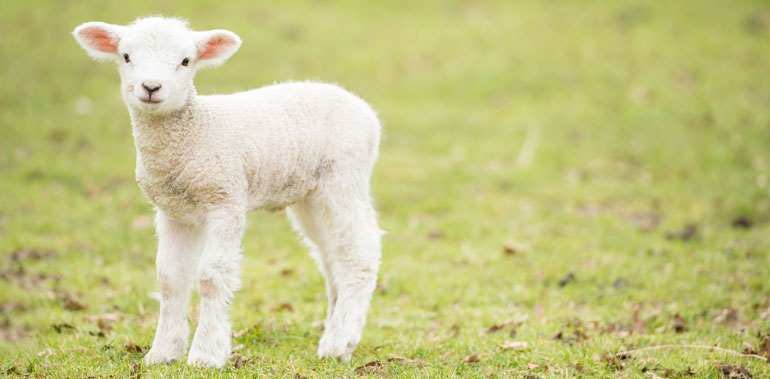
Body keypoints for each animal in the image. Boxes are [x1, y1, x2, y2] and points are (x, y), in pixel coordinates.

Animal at [73, 17, 382, 368]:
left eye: (186, 61)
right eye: (126, 56)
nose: (151, 87)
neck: (193, 133)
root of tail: (363, 108)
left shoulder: (226, 200)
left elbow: (210, 276)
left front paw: (206, 354)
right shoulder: (172, 211)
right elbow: (169, 278)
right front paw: (163, 352)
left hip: (344, 178)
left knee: (360, 253)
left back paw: (338, 342)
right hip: (310, 195)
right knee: (331, 253)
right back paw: (336, 331)